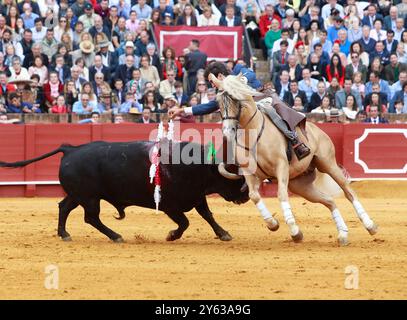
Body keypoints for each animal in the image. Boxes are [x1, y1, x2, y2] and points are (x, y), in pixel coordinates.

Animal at [0, 141, 249, 242]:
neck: (197, 167)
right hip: (90, 198)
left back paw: (64, 234)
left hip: (79, 195)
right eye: (233, 177)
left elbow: (208, 215)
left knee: (64, 207)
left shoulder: (196, 197)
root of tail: (70, 149)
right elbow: (185, 222)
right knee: (91, 218)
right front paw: (172, 235)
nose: (246, 195)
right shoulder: (170, 205)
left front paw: (224, 234)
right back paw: (116, 236)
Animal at [210, 74, 380, 246]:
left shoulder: (281, 167)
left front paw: (295, 231)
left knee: (348, 191)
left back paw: (370, 225)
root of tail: (316, 129)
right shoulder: (250, 173)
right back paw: (343, 234)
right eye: (218, 103)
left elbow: (281, 195)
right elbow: (254, 196)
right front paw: (273, 224)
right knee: (329, 201)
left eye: (235, 100)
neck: (252, 134)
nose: (227, 132)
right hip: (300, 184)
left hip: (328, 164)